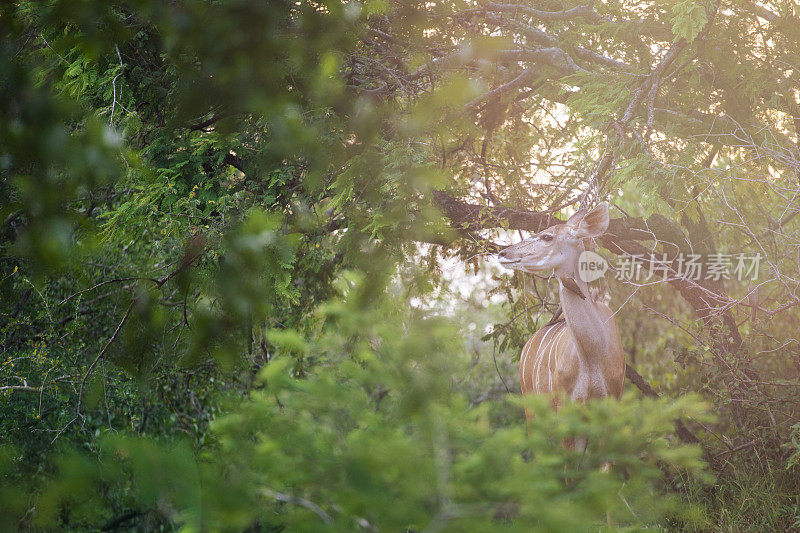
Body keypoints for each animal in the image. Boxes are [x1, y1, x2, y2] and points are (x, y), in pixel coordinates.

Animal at [500, 202, 624, 434]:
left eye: (547, 236)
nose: (502, 253)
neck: (593, 354)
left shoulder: (610, 404)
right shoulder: (567, 407)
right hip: (532, 409)